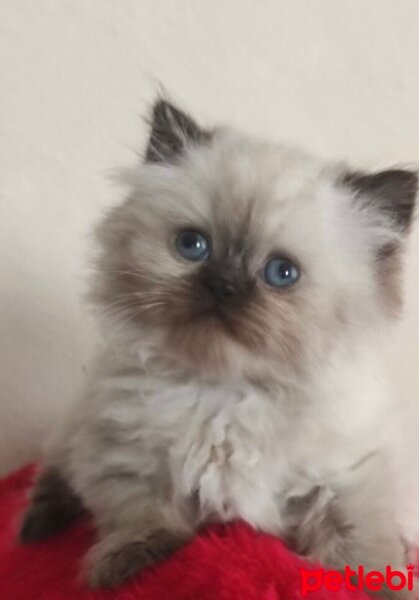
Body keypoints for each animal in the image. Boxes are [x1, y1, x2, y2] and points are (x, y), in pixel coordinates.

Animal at [20, 98, 419, 596]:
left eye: (281, 273)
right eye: (193, 245)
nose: (222, 286)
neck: (226, 393)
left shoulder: (346, 480)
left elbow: (361, 548)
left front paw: (375, 583)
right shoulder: (123, 455)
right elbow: (137, 513)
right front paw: (132, 561)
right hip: (74, 426)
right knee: (53, 476)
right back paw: (35, 528)